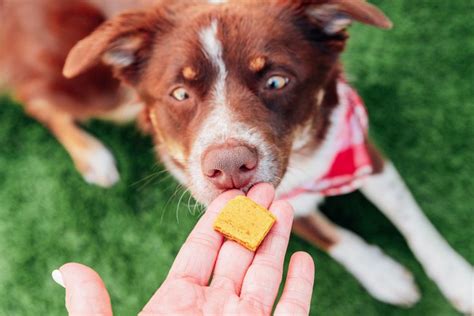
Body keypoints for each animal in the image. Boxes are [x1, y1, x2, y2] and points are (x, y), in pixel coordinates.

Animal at [1, 0, 472, 312]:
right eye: (180, 93)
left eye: (277, 81)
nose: (228, 167)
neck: (305, 161)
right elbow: (334, 236)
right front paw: (384, 275)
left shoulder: (356, 144)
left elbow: (414, 223)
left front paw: (459, 281)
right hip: (100, 88)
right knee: (34, 98)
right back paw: (92, 157)